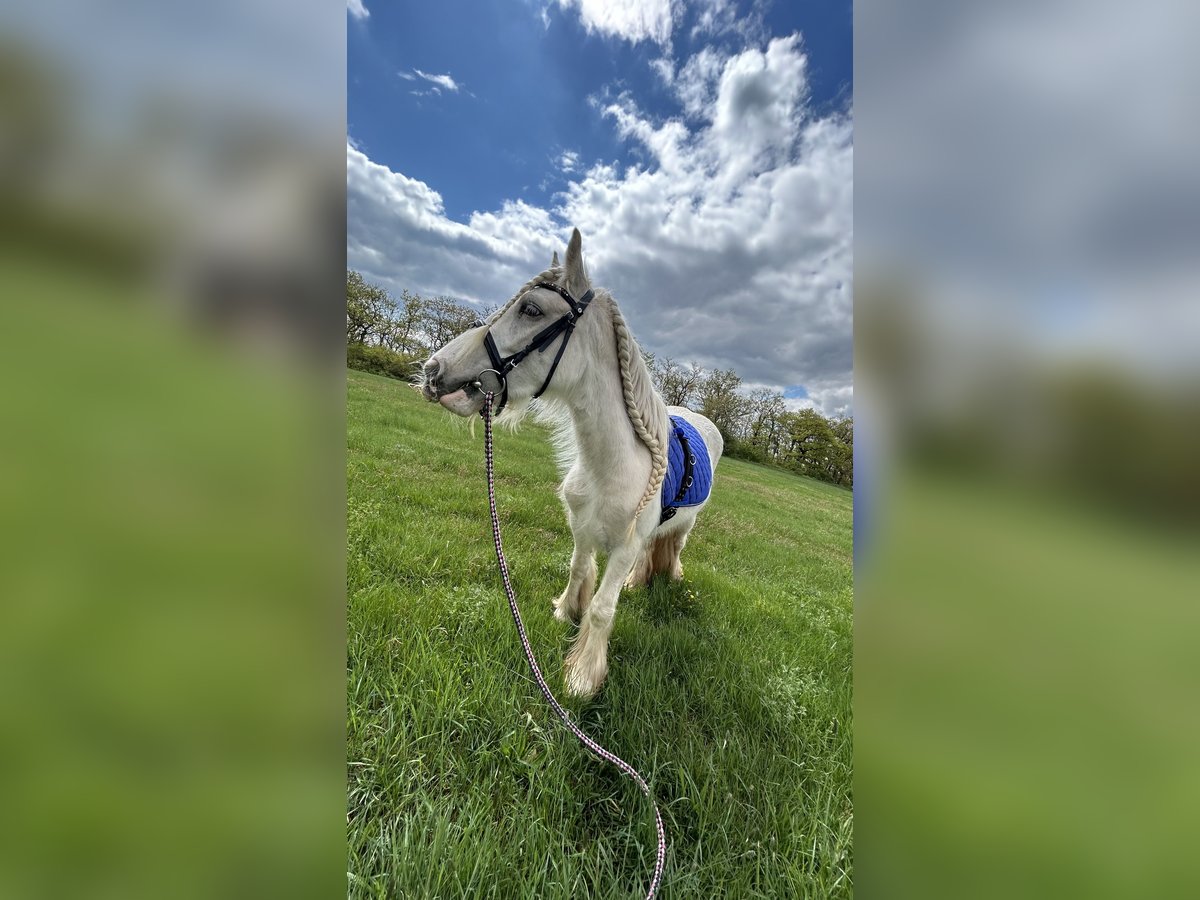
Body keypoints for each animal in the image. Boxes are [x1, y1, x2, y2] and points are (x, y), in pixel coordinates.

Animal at [422, 229, 720, 700]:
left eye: (530, 309)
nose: (434, 370)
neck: (611, 467)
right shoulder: (581, 529)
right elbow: (579, 570)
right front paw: (565, 612)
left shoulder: (624, 547)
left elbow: (602, 608)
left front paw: (582, 676)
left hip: (686, 526)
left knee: (672, 546)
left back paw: (669, 577)